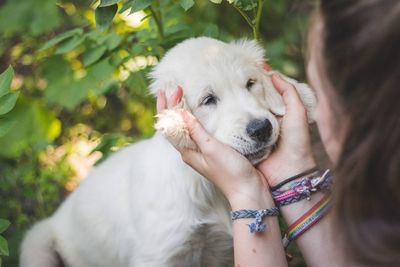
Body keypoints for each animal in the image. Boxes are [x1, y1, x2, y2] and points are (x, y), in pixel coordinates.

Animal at [21, 37, 316, 267]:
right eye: (208, 100)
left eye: (250, 83)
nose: (261, 129)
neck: (208, 188)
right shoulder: (159, 254)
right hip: (36, 243)